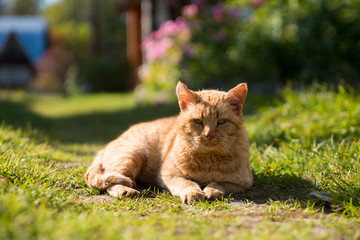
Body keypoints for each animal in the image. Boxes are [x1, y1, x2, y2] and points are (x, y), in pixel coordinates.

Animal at [84, 81, 253, 203]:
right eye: (198, 121)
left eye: (222, 121)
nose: (208, 135)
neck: (208, 159)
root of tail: (107, 145)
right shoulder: (168, 175)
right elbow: (187, 183)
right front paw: (194, 192)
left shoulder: (242, 182)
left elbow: (218, 183)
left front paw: (212, 190)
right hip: (134, 153)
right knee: (112, 181)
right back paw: (127, 190)